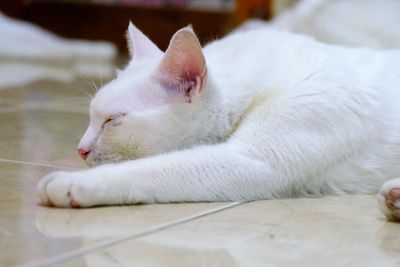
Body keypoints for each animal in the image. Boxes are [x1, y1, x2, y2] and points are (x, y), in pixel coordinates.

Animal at [37, 24, 400, 222]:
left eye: (113, 121)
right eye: (91, 118)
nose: (81, 150)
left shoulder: (253, 161)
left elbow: (148, 169)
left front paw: (71, 183)